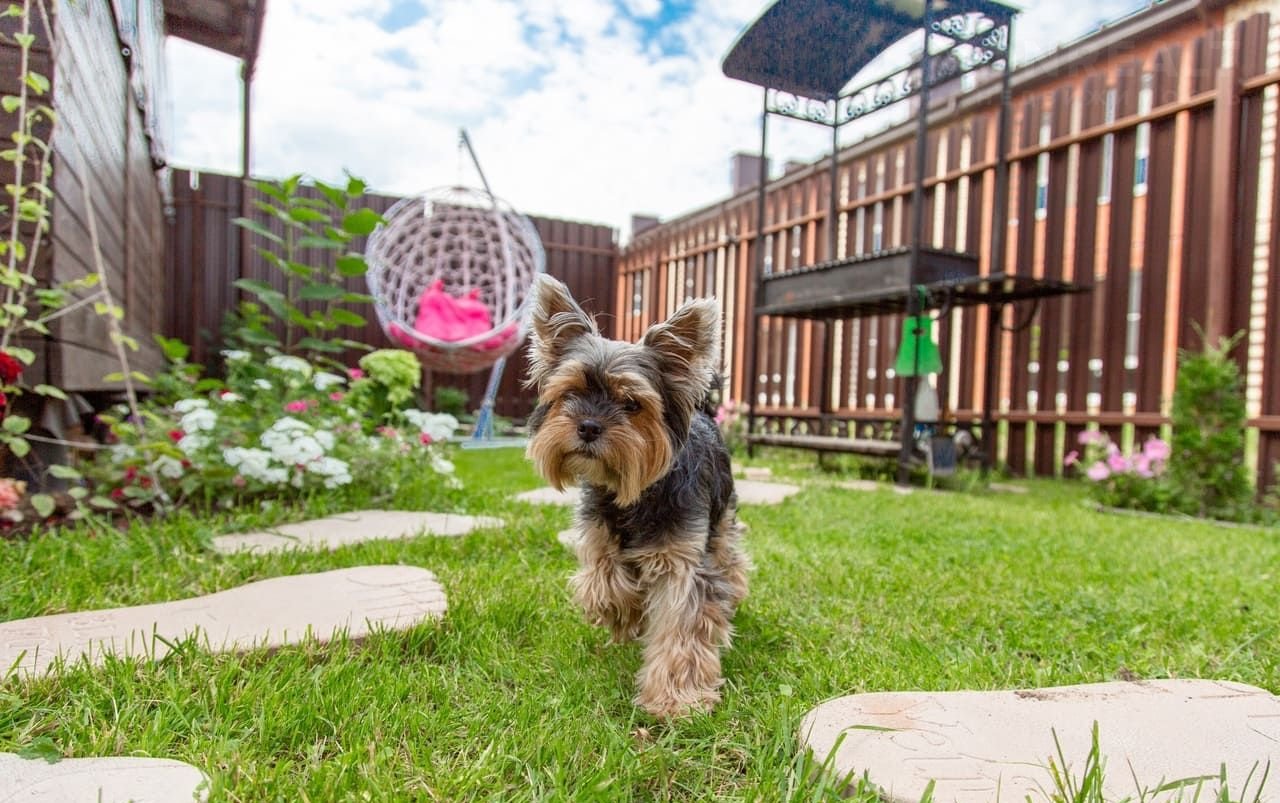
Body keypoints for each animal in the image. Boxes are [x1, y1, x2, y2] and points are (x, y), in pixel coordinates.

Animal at [523, 274, 749, 719]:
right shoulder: (596, 533)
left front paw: (675, 699)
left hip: (721, 519)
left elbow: (684, 621)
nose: (588, 426)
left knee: (728, 561)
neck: (633, 493)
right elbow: (604, 580)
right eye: (571, 392)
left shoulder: (683, 558)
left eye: (631, 404)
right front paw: (625, 612)